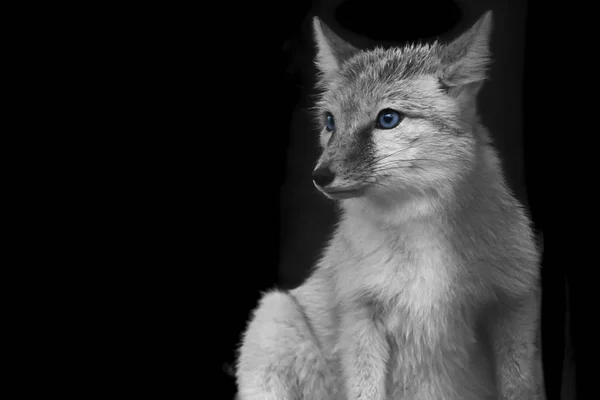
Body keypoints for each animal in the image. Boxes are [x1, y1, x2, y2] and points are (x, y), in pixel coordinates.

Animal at [234, 10, 544, 400]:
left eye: (388, 118)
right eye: (330, 122)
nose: (319, 176)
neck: (423, 247)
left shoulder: (513, 305)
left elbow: (519, 387)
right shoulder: (361, 315)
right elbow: (364, 390)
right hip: (273, 312)